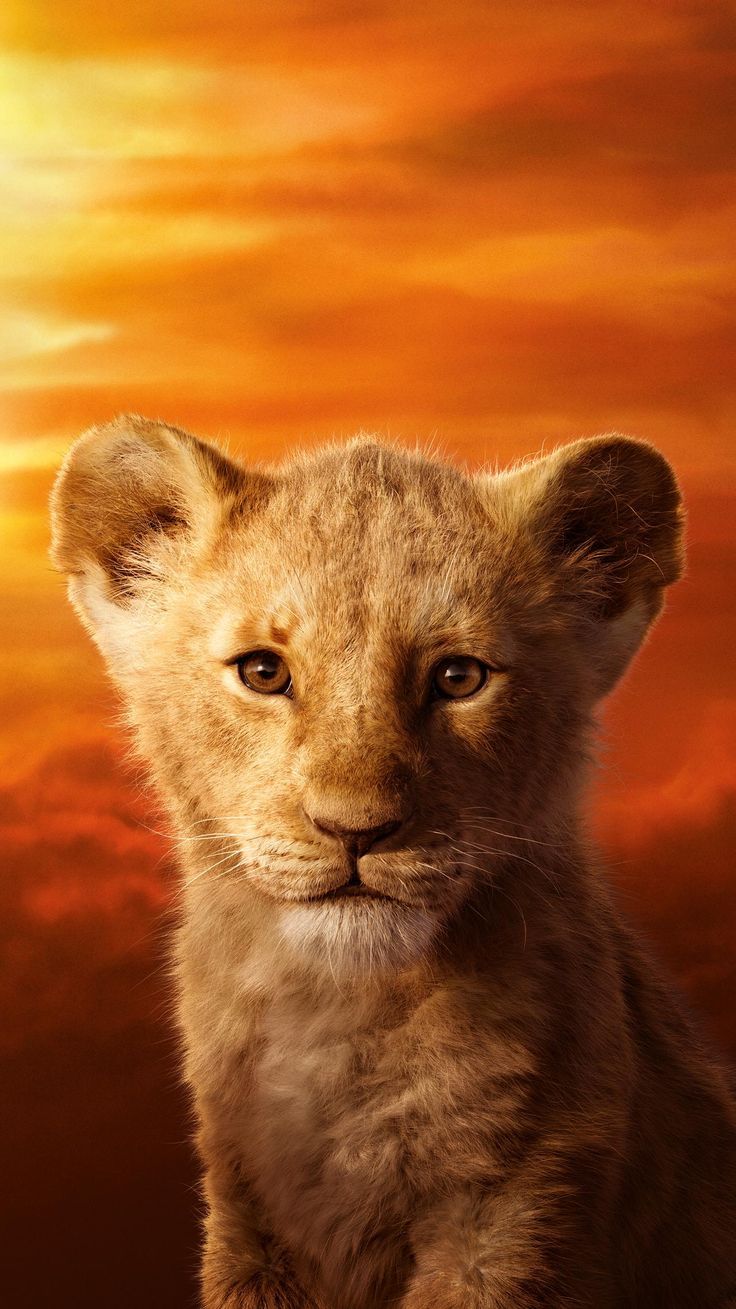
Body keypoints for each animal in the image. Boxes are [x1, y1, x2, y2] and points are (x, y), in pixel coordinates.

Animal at [50, 416, 736, 1308]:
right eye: (263, 670)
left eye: (459, 676)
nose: (357, 830)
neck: (341, 1013)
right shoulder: (247, 1217)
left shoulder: (517, 1215)